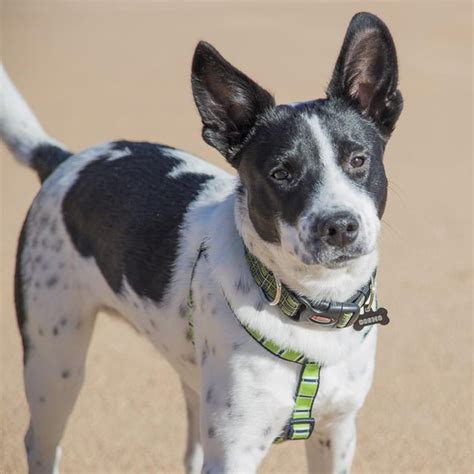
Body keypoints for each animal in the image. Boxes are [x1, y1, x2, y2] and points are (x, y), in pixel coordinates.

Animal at [0, 11, 402, 474]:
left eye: (358, 160)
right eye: (281, 173)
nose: (338, 227)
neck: (312, 308)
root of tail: (63, 161)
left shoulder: (337, 431)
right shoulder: (234, 451)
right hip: (55, 363)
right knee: (41, 441)